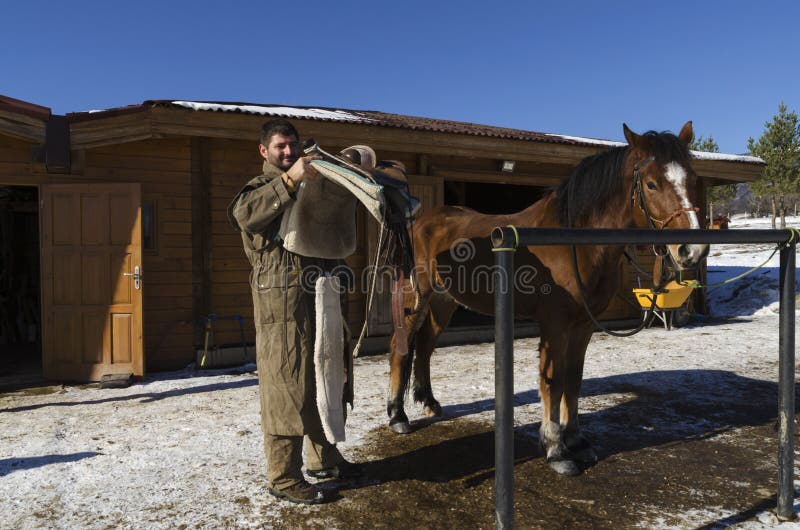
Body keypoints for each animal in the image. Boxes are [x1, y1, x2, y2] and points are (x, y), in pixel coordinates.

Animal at [388, 120, 708, 474]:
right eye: (651, 184)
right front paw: (556, 449)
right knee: (399, 347)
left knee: (426, 345)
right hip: (414, 298)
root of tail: (420, 223)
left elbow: (574, 379)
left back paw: (429, 402)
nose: (691, 251)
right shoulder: (555, 325)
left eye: (692, 178)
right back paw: (398, 416)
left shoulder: (584, 325)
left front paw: (577, 440)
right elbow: (553, 382)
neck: (573, 242)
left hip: (445, 301)